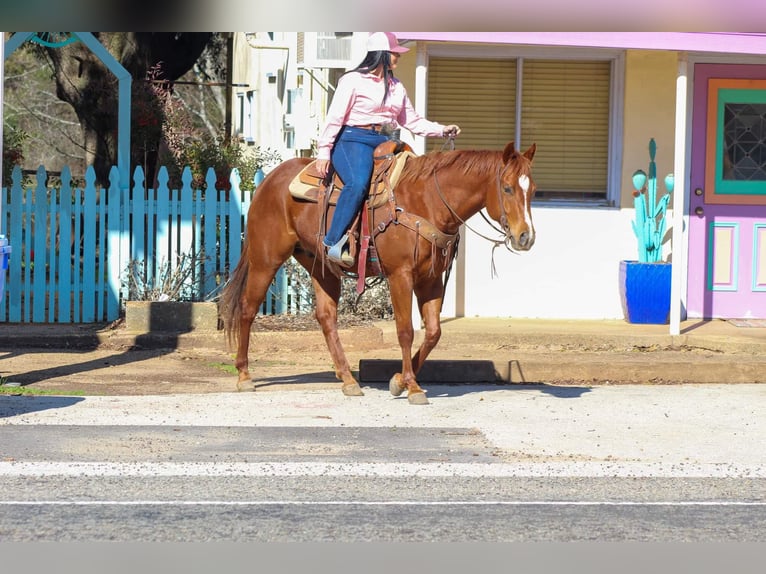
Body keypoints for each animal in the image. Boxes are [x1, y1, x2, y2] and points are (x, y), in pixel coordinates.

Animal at [219, 142, 536, 408]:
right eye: (507, 188)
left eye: (532, 190)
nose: (526, 237)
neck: (427, 201)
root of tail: (269, 180)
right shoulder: (400, 276)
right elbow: (406, 331)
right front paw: (412, 387)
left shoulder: (431, 279)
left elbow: (433, 332)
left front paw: (398, 381)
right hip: (266, 259)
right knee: (247, 309)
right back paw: (244, 375)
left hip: (319, 265)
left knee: (326, 317)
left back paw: (348, 379)